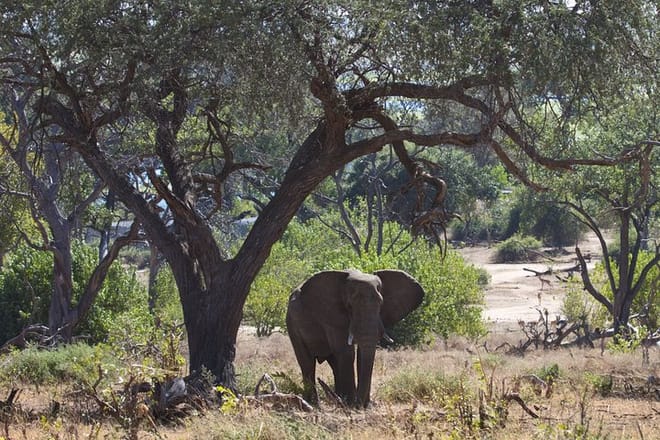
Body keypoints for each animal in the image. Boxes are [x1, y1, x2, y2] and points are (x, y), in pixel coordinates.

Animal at [286, 269, 425, 408]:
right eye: (349, 306)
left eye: (381, 304)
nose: (361, 405)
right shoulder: (332, 318)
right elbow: (347, 352)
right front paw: (351, 405)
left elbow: (361, 354)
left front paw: (362, 405)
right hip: (291, 323)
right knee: (307, 362)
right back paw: (314, 404)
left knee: (334, 363)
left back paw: (337, 398)